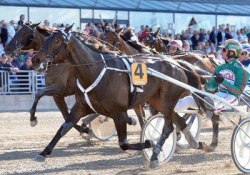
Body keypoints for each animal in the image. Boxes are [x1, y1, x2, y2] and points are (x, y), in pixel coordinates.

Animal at [32, 27, 207, 168]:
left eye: (57, 41)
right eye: (45, 39)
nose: (35, 59)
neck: (97, 70)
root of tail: (177, 64)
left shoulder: (119, 112)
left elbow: (124, 143)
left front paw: (147, 141)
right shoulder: (81, 106)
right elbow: (63, 128)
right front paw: (43, 152)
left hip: (167, 101)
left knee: (169, 127)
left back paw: (156, 154)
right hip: (158, 102)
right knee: (177, 120)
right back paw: (194, 142)